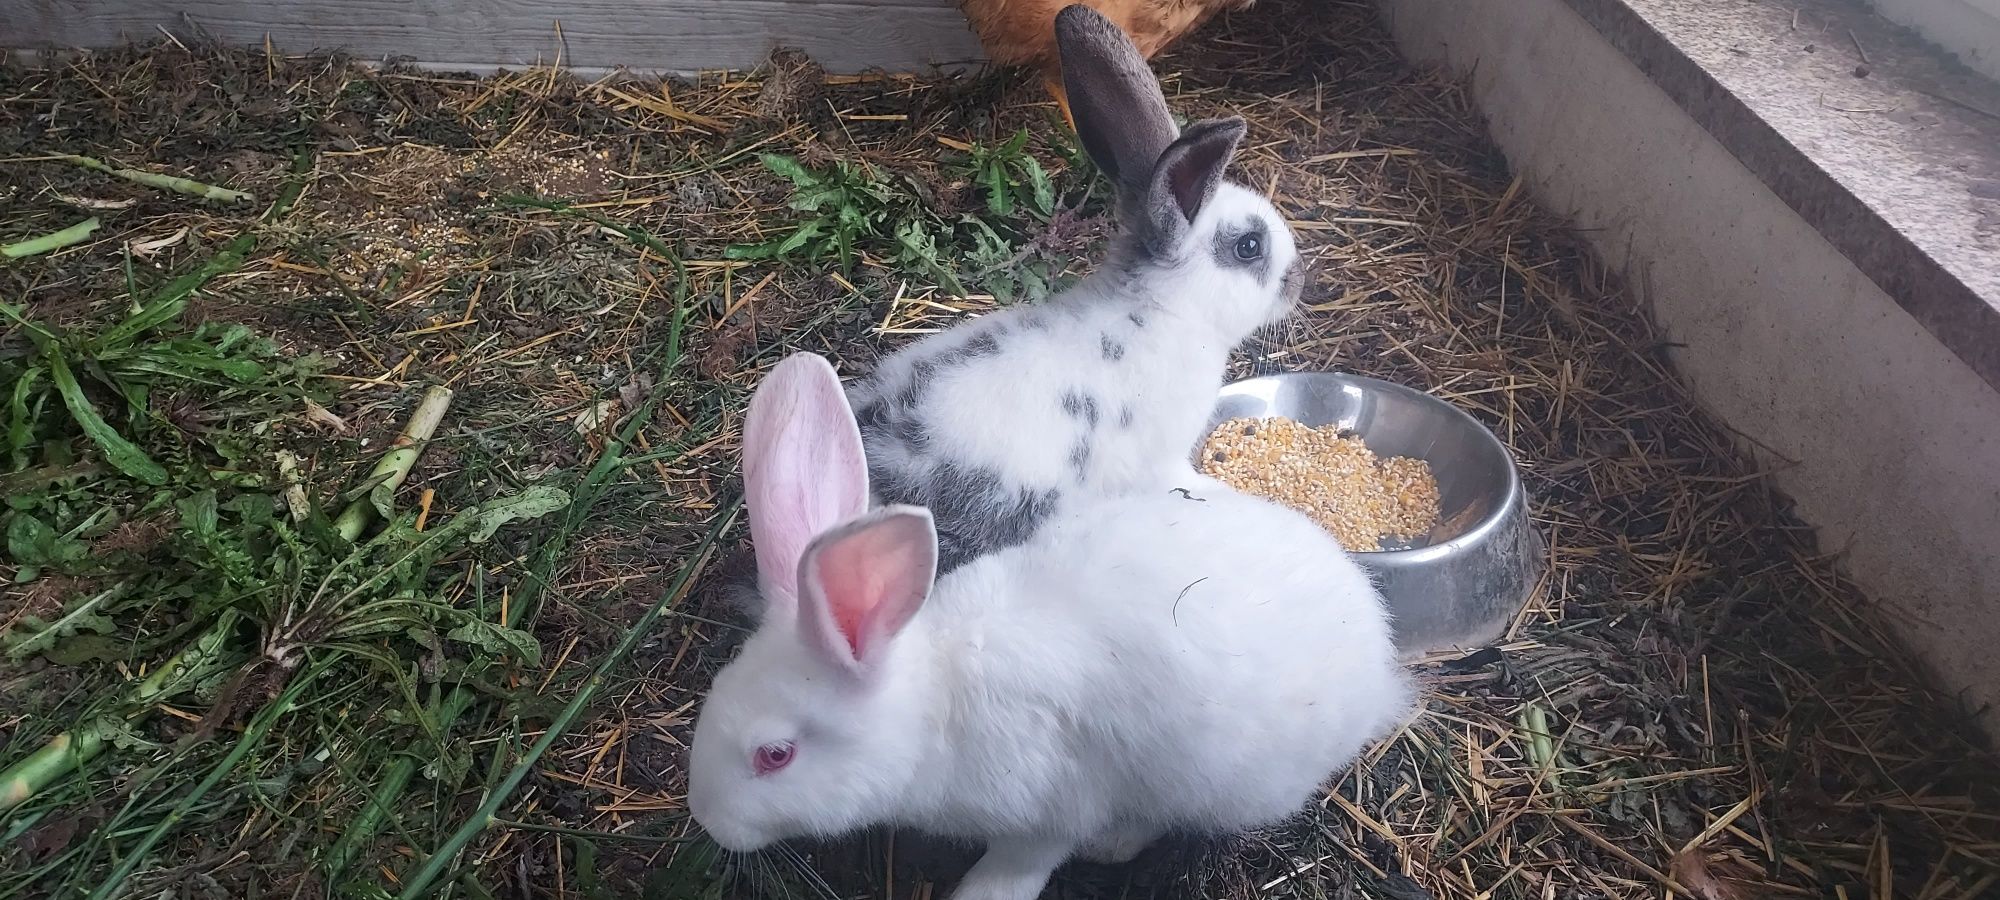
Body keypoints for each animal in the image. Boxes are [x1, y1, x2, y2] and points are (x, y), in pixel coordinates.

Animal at [688, 352, 1408, 900]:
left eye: (775, 755)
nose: (706, 820)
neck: (933, 709)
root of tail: (1380, 659)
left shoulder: (1045, 818)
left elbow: (1016, 870)